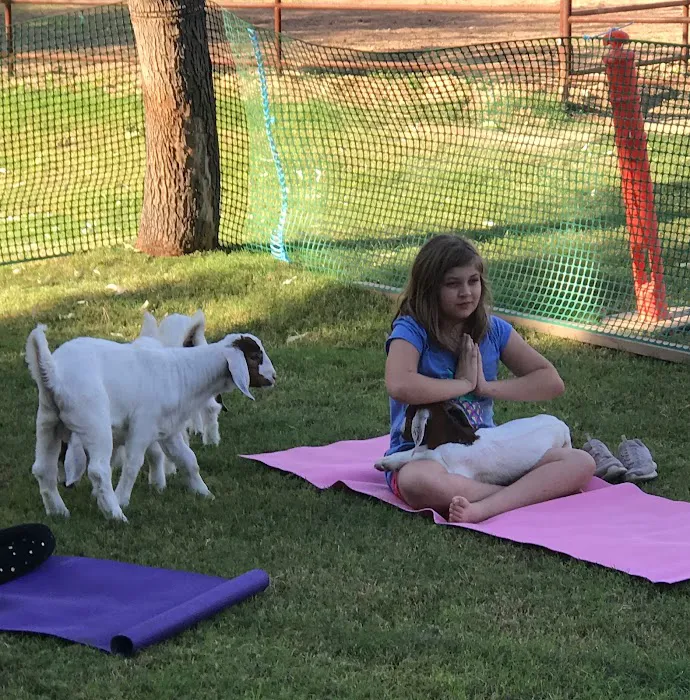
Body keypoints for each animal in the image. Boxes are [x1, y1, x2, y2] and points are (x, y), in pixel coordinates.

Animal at [26, 324, 275, 521]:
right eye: (255, 357)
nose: (274, 377)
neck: (183, 374)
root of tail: (54, 373)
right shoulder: (143, 426)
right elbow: (132, 465)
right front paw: (122, 499)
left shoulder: (168, 430)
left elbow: (188, 459)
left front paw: (203, 492)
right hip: (93, 421)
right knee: (98, 470)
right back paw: (116, 515)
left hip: (48, 421)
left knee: (42, 469)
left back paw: (58, 512)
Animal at [374, 401, 571, 486]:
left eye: (408, 415)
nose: (400, 430)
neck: (457, 436)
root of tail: (562, 426)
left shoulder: (453, 467)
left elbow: (422, 455)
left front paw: (385, 463)